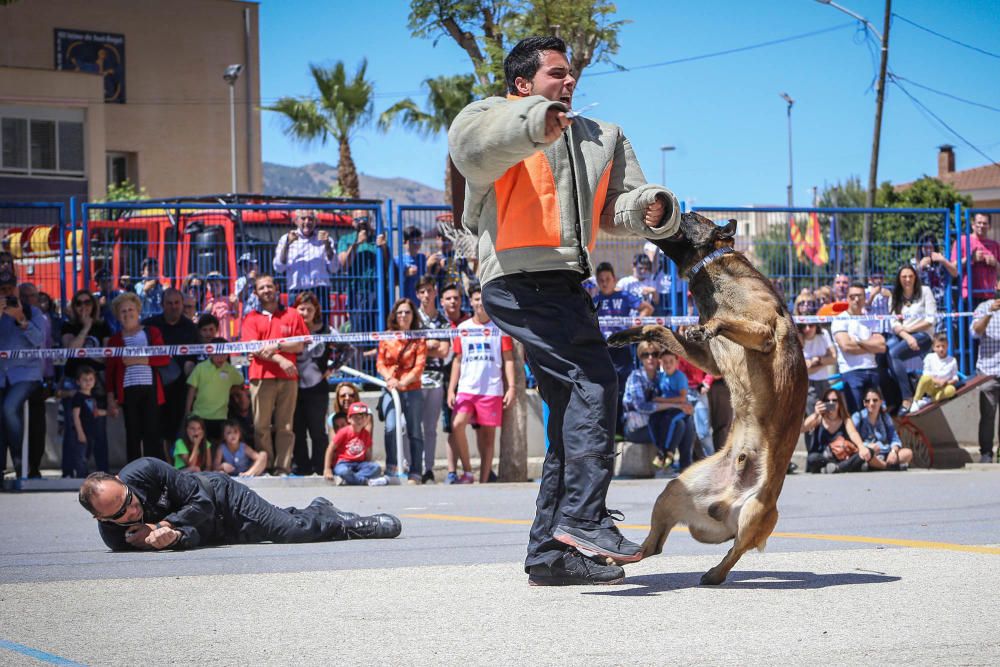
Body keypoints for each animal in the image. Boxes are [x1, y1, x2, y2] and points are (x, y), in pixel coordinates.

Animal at [604, 210, 808, 584]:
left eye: (692, 217)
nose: (678, 208)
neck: (710, 267)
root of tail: (723, 504)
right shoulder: (709, 361)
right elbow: (659, 327)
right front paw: (628, 333)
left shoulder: (763, 333)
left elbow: (722, 319)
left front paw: (709, 325)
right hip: (673, 491)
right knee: (652, 547)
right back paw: (616, 558)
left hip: (756, 512)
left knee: (737, 549)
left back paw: (715, 573)